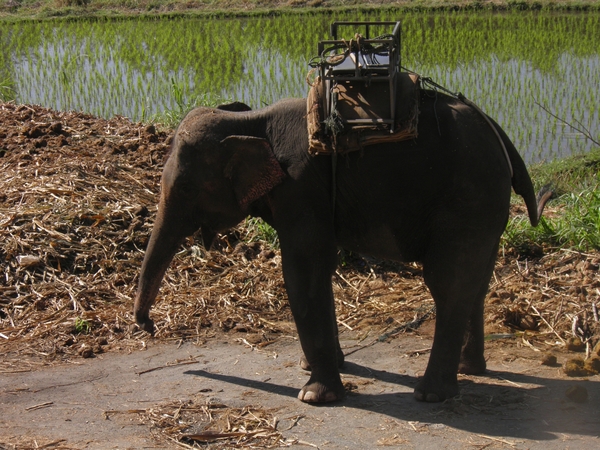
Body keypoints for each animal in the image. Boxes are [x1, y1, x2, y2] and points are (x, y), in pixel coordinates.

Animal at [134, 90, 552, 404]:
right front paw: (321, 369)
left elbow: (303, 272)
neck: (252, 121)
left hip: (467, 197)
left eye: (185, 188)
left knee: (448, 283)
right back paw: (471, 370)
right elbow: (324, 269)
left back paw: (432, 394)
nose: (149, 327)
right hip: (487, 205)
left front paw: (314, 396)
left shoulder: (301, 187)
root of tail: (498, 133)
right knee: (476, 282)